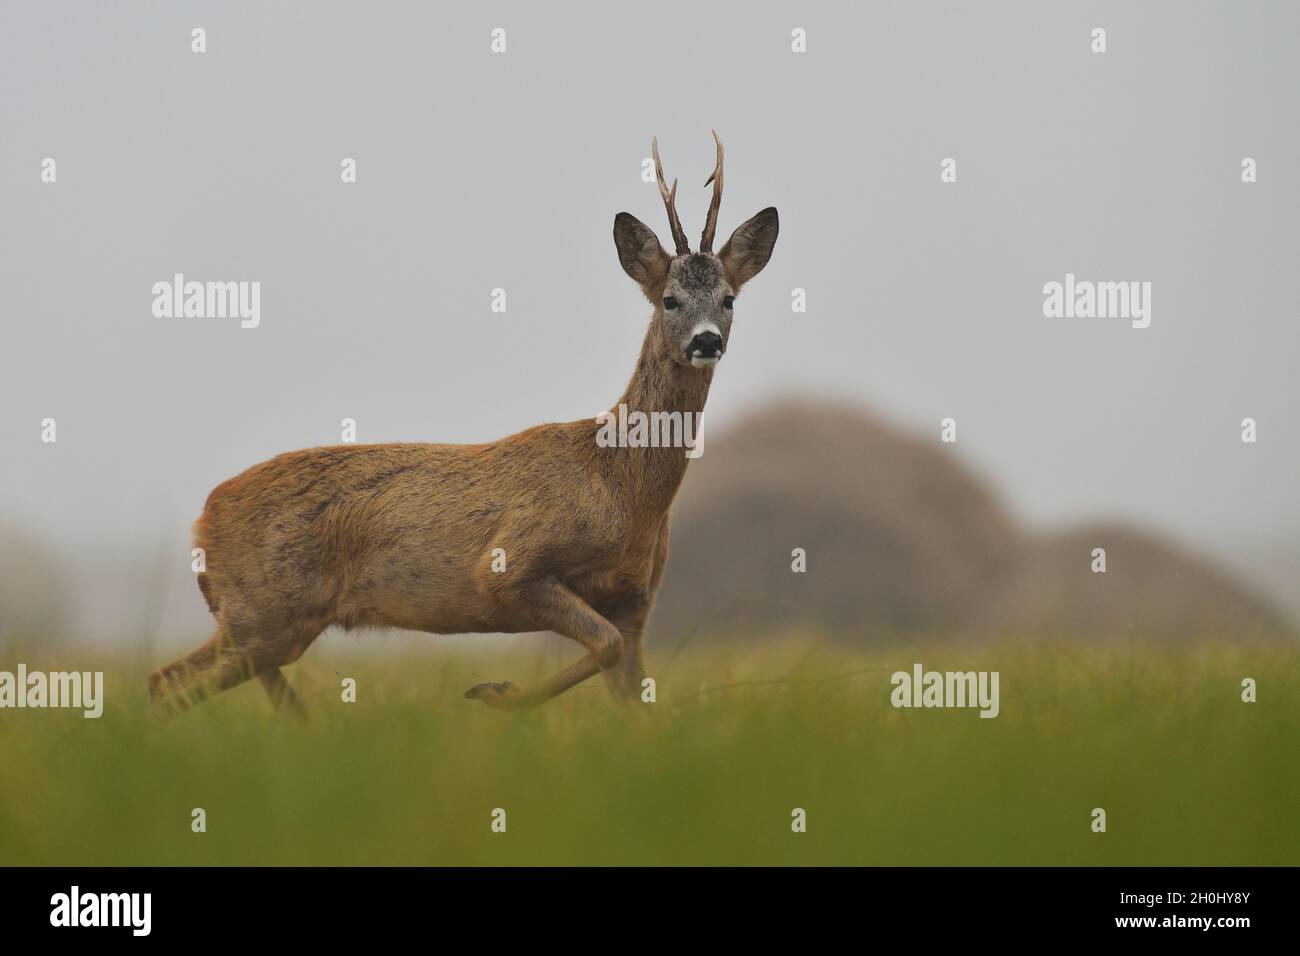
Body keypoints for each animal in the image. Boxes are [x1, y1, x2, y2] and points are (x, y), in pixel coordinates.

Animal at [147, 133, 778, 716]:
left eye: (728, 299)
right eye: (670, 300)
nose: (706, 341)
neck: (620, 484)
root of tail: (203, 520)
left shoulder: (635, 600)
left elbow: (634, 697)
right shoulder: (507, 567)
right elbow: (602, 646)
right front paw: (497, 693)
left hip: (266, 623)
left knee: (182, 681)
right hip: (263, 611)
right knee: (165, 683)